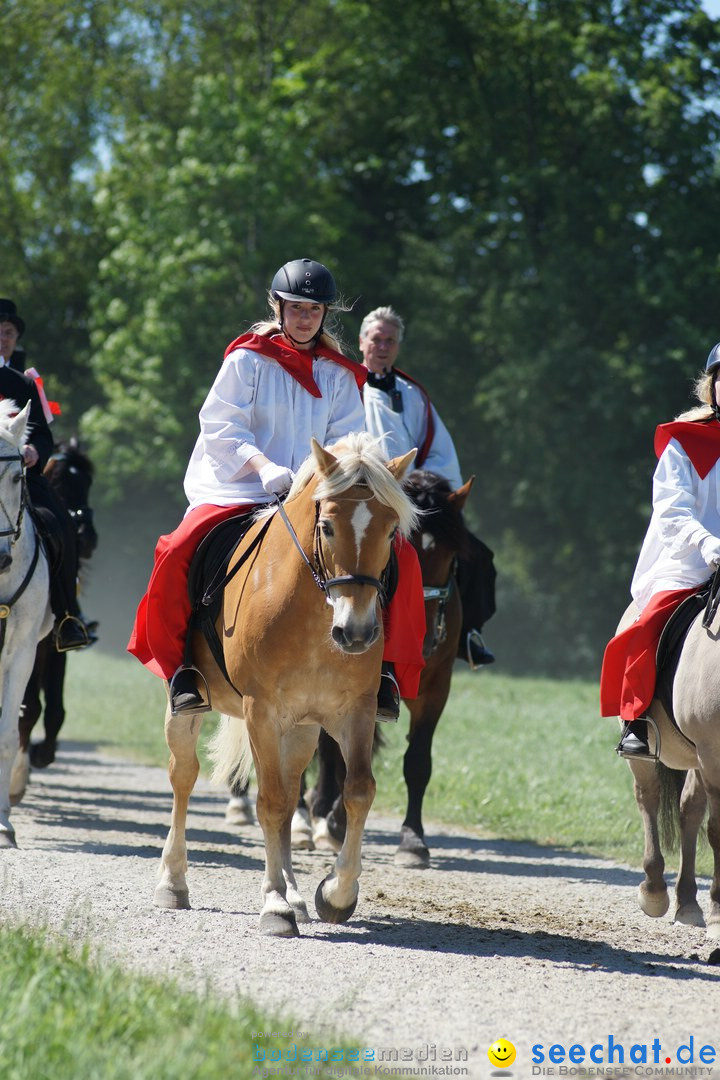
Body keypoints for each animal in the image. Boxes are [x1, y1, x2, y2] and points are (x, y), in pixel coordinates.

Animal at [155, 432, 418, 937]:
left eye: (392, 529)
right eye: (328, 527)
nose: (356, 633)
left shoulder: (354, 710)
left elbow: (357, 790)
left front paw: (334, 893)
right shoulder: (261, 710)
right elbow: (272, 802)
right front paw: (274, 905)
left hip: (301, 729)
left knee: (293, 784)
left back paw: (295, 893)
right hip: (191, 711)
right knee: (183, 776)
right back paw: (172, 883)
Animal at [302, 470, 474, 868]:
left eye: (450, 554)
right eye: (400, 543)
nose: (424, 642)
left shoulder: (435, 688)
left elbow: (418, 762)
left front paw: (412, 841)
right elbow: (341, 752)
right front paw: (335, 820)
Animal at [617, 587, 720, 941]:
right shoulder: (712, 755)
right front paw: (718, 916)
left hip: (697, 759)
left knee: (689, 810)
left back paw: (687, 902)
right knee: (647, 796)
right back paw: (654, 890)